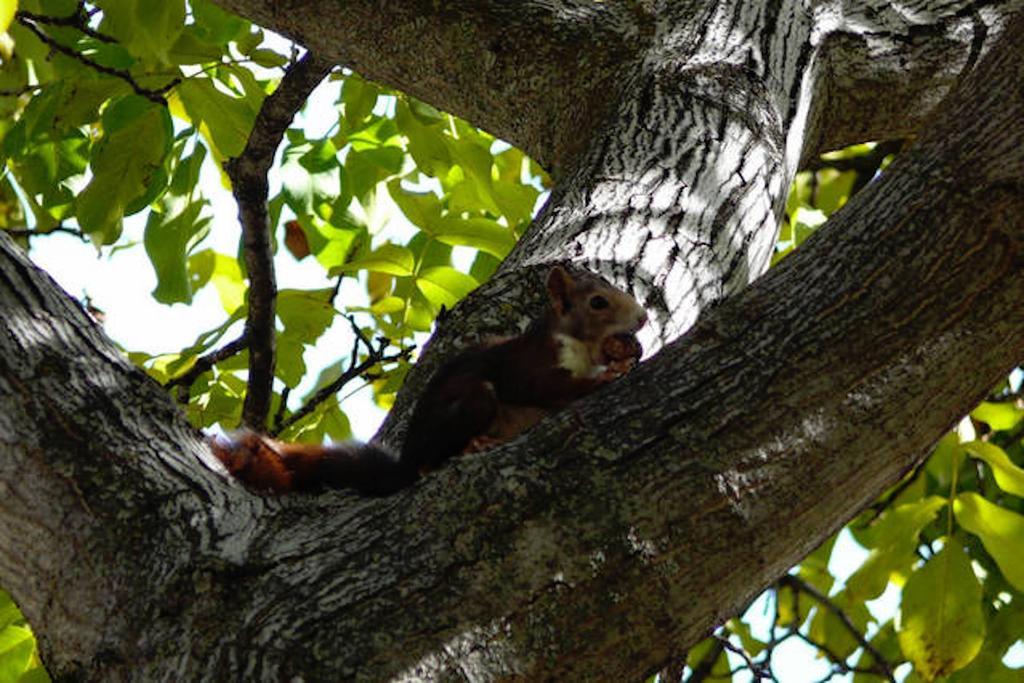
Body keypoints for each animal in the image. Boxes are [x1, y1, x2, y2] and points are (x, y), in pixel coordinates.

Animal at [207, 266, 647, 497]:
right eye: (597, 303)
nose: (642, 318)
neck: (578, 345)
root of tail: (405, 461)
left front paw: (628, 355)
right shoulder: (528, 366)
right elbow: (546, 388)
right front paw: (606, 377)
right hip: (472, 402)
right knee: (433, 458)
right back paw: (469, 446)